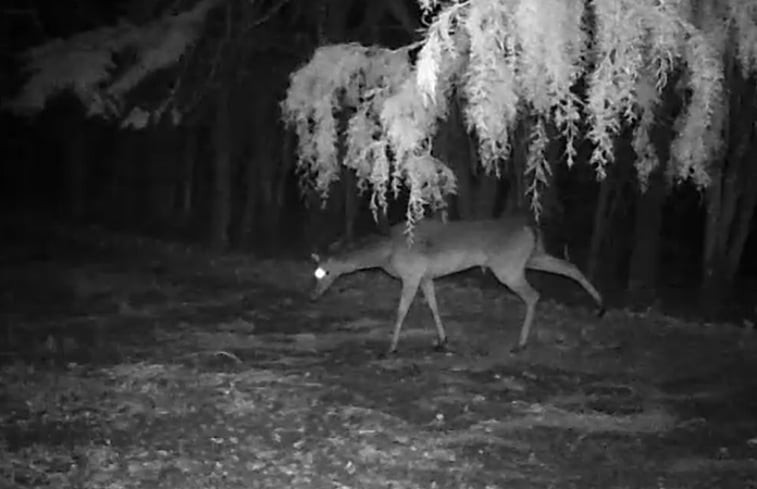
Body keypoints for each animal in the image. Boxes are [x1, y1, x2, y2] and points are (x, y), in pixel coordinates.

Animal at [308, 217, 604, 354]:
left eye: (325, 272)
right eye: (315, 273)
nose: (314, 296)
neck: (386, 254)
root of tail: (530, 228)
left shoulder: (411, 274)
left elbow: (401, 310)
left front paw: (390, 348)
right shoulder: (426, 276)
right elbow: (433, 305)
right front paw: (442, 340)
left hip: (507, 267)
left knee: (533, 295)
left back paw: (519, 343)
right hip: (530, 257)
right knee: (569, 267)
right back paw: (600, 305)